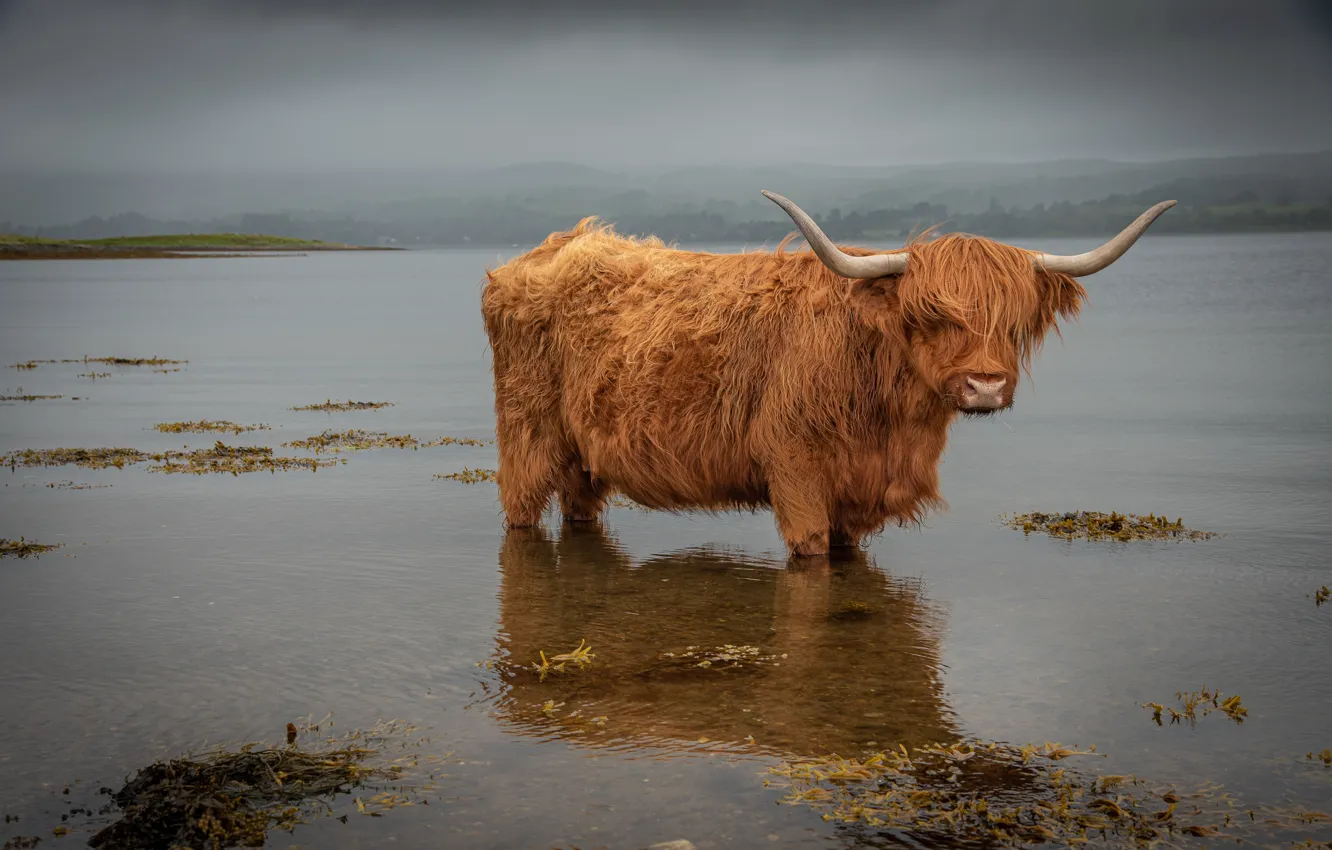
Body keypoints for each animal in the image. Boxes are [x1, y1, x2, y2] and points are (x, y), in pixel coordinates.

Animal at [480, 192, 1175, 557]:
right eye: (929, 314)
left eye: (1015, 320)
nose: (984, 385)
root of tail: (550, 247)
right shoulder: (796, 470)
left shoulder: (856, 495)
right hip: (527, 434)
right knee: (520, 508)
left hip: (582, 454)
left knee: (579, 507)